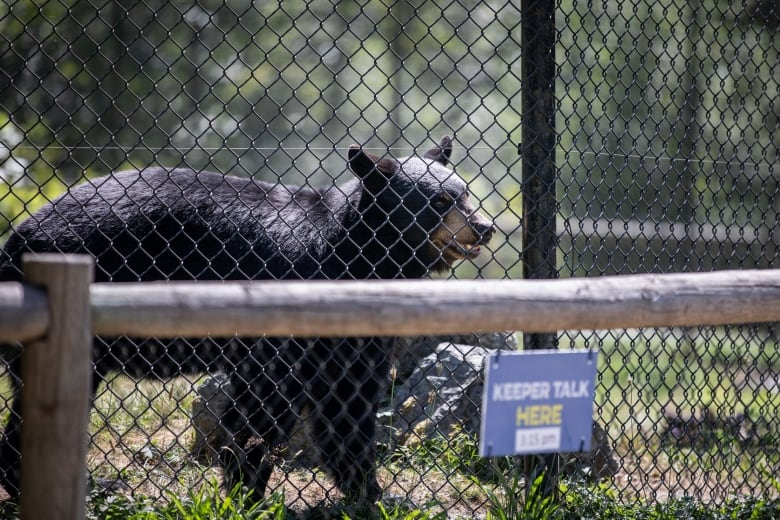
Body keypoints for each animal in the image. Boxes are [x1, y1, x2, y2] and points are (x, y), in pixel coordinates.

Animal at [0, 136, 494, 502]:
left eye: (465, 192)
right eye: (441, 201)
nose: (485, 227)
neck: (357, 257)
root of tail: (20, 233)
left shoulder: (351, 335)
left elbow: (347, 405)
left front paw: (373, 494)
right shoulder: (289, 306)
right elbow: (263, 403)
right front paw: (247, 490)